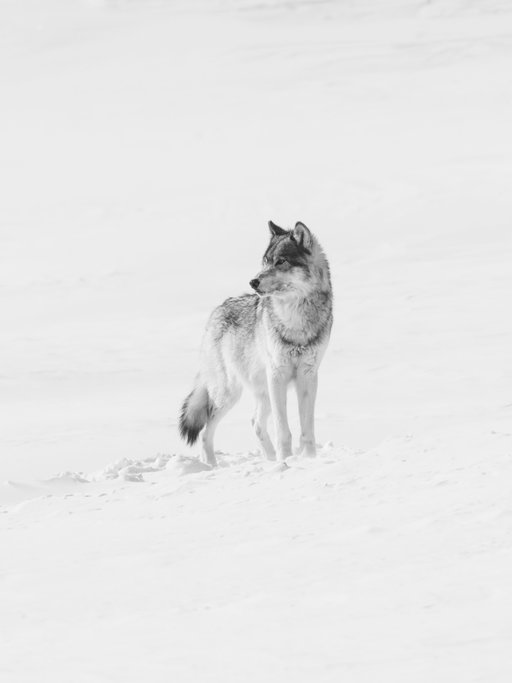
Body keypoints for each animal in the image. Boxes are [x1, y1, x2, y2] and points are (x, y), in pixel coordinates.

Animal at [179, 220, 333, 467]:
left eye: (281, 261)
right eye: (265, 261)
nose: (253, 281)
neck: (296, 321)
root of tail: (217, 310)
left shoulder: (308, 376)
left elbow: (307, 429)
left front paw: (308, 459)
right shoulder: (277, 375)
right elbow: (283, 430)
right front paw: (286, 460)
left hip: (262, 391)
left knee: (256, 423)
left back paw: (268, 459)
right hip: (229, 393)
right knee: (205, 431)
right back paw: (212, 466)